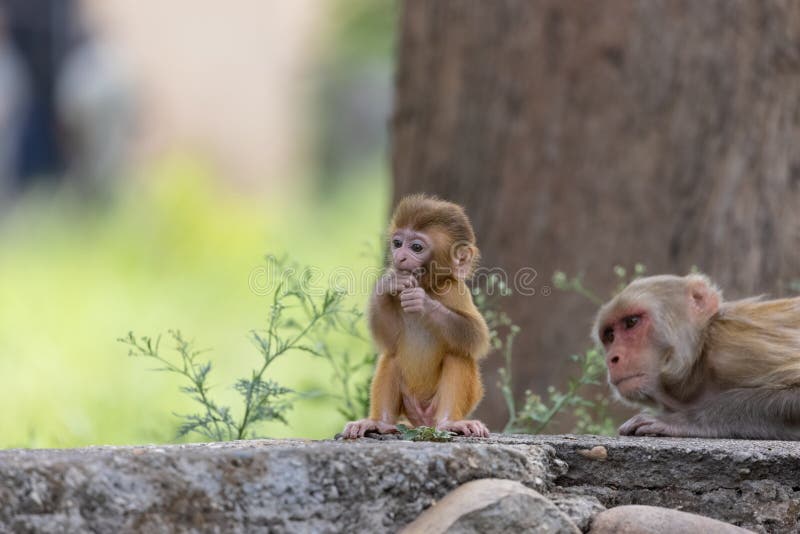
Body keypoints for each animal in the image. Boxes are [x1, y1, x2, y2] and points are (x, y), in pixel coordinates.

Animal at [342, 194, 491, 438]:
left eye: (416, 247)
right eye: (397, 243)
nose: (400, 257)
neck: (429, 286)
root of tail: (424, 422)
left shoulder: (456, 291)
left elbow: (476, 336)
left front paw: (424, 304)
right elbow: (389, 340)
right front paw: (388, 284)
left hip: (440, 407)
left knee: (458, 352)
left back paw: (450, 423)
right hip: (409, 404)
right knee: (391, 357)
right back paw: (379, 423)